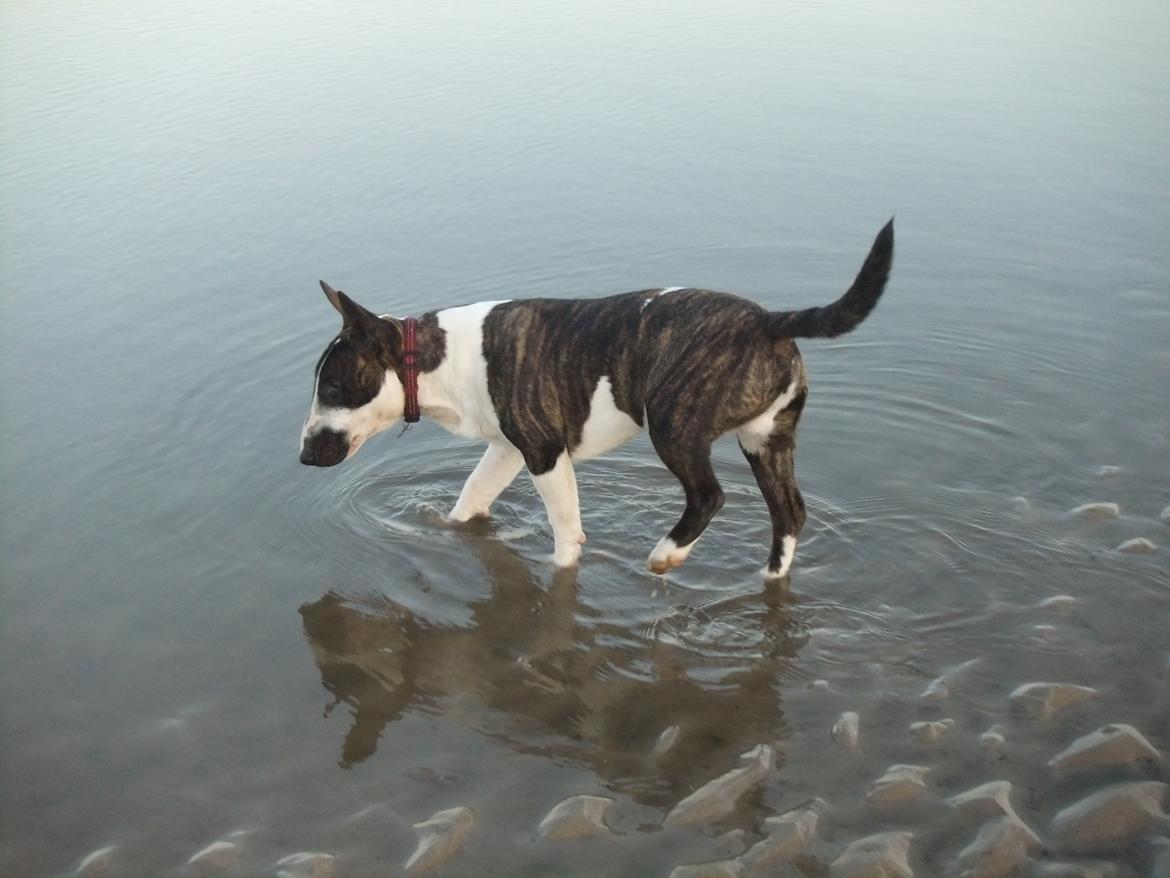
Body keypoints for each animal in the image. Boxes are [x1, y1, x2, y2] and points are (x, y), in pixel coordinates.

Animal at [297, 220, 889, 578]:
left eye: (334, 387)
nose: (303, 455)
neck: (439, 358)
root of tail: (768, 323)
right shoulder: (508, 449)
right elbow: (472, 495)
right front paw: (448, 530)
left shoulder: (543, 451)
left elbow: (566, 530)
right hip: (767, 440)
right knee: (789, 511)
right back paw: (769, 577)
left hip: (674, 425)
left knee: (710, 496)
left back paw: (667, 555)